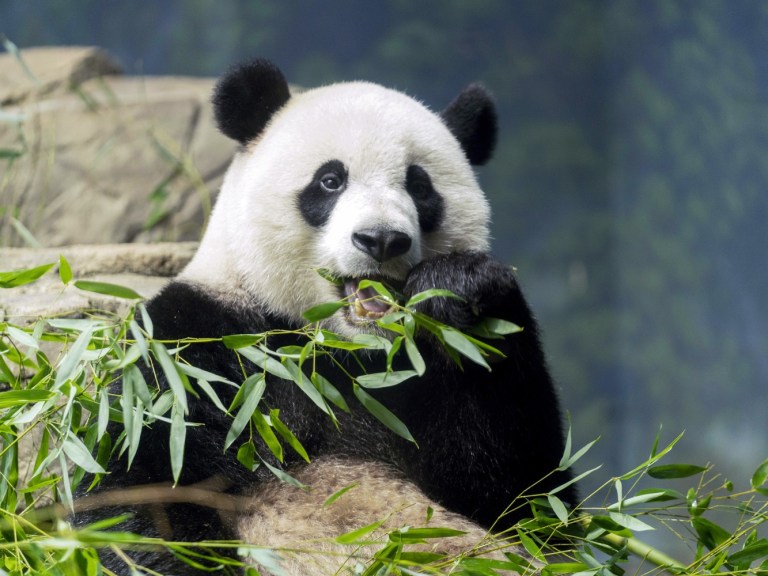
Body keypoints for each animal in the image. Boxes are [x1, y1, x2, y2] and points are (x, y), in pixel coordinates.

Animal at [74, 59, 575, 575]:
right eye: (330, 181)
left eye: (419, 186)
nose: (382, 239)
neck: (339, 345)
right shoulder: (192, 346)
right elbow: (142, 481)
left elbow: (527, 498)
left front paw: (459, 288)